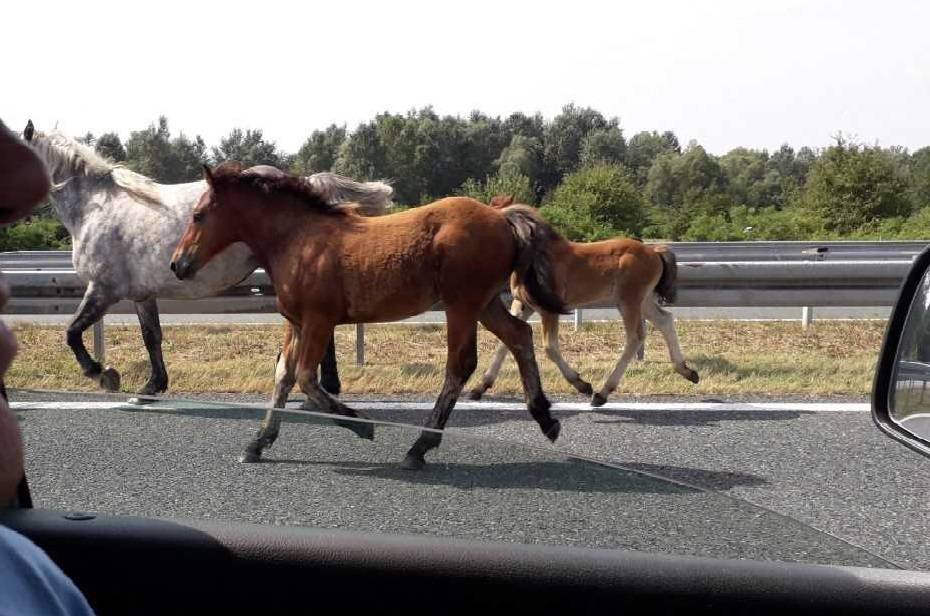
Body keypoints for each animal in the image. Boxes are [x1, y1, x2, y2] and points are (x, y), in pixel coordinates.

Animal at [172, 161, 564, 470]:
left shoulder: (319, 320)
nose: (178, 264)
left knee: (460, 364)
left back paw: (419, 448)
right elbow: (283, 375)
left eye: (198, 215)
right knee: (519, 335)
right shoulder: (295, 323)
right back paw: (546, 419)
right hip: (484, 303)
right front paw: (258, 443)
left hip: (462, 305)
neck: (298, 241)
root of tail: (500, 215)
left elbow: (306, 377)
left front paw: (360, 423)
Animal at [472, 196, 696, 404]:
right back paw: (688, 371)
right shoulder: (524, 306)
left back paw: (602, 393)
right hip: (644, 300)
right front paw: (480, 387)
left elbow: (550, 348)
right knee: (665, 320)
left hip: (629, 301)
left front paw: (582, 384)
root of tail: (654, 251)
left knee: (635, 337)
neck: (535, 257)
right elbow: (507, 341)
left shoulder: (549, 310)